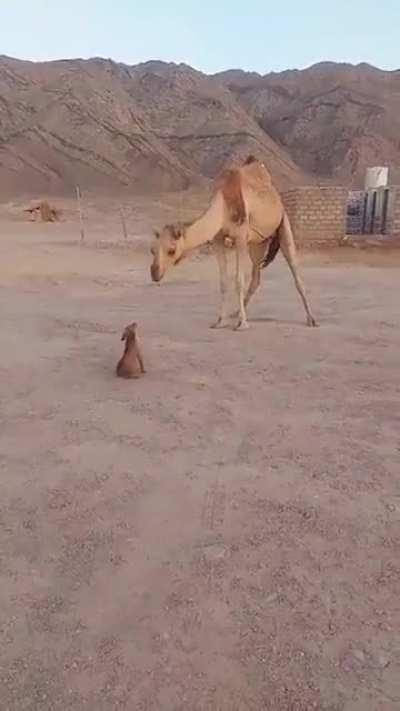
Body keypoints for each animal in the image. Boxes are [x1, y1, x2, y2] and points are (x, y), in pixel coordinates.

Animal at [150, 156, 316, 330]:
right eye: (152, 250)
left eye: (171, 250)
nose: (154, 272)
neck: (223, 205)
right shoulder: (217, 240)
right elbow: (224, 282)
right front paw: (219, 321)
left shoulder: (241, 237)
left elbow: (238, 280)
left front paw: (242, 324)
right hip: (258, 243)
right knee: (256, 276)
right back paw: (236, 313)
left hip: (283, 222)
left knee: (295, 271)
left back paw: (311, 319)